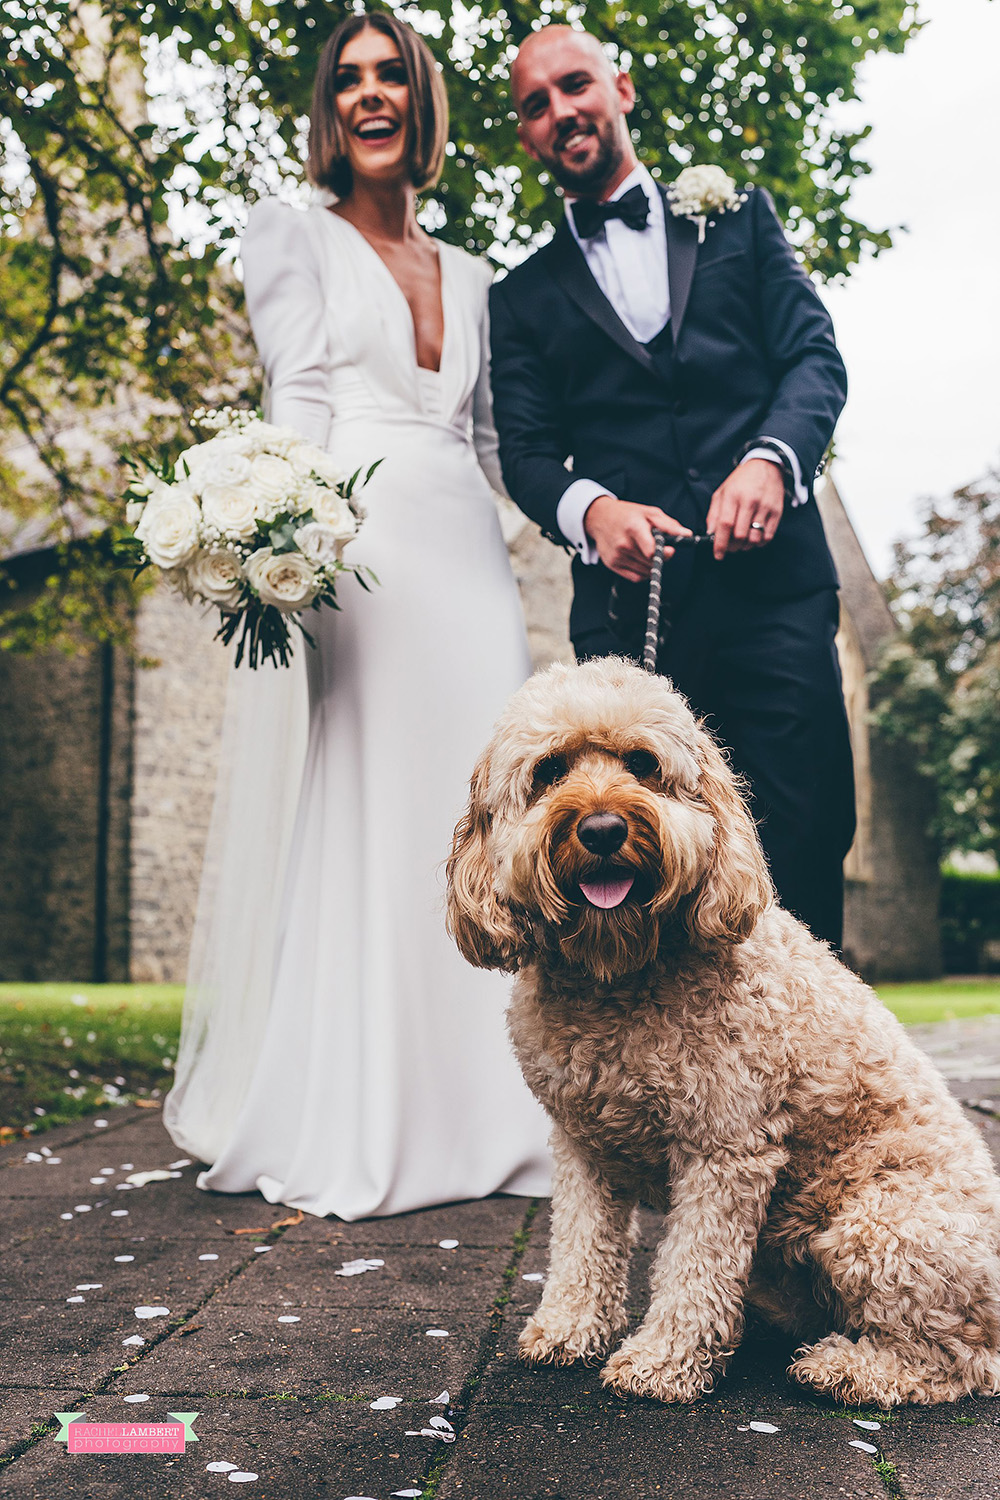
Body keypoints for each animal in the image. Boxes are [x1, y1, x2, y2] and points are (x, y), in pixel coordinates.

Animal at [449, 657, 1000, 1404]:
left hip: (878, 1227)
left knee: (958, 1359)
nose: (601, 828)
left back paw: (850, 1367)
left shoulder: (724, 1148)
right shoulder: (583, 1145)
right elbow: (581, 1244)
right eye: (550, 771)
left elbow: (695, 1264)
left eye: (643, 764)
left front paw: (662, 1361)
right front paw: (570, 1328)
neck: (620, 972)